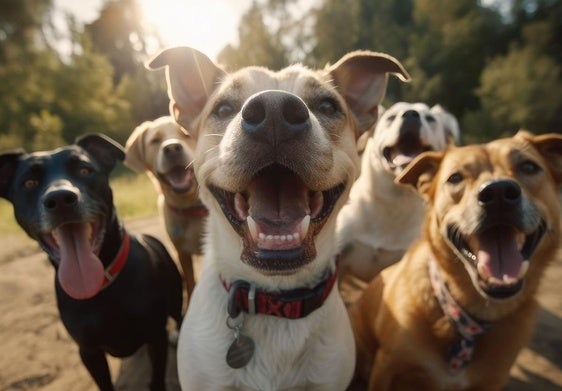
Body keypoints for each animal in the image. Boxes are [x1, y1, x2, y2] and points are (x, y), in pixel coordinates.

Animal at [0, 133, 182, 390]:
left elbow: (155, 380)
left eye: (85, 170)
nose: (60, 198)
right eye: (29, 183)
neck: (102, 286)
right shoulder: (89, 352)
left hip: (175, 297)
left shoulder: (156, 336)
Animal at [123, 115, 206, 302]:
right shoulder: (182, 253)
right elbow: (191, 283)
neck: (190, 206)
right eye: (155, 140)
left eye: (186, 134)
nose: (172, 148)